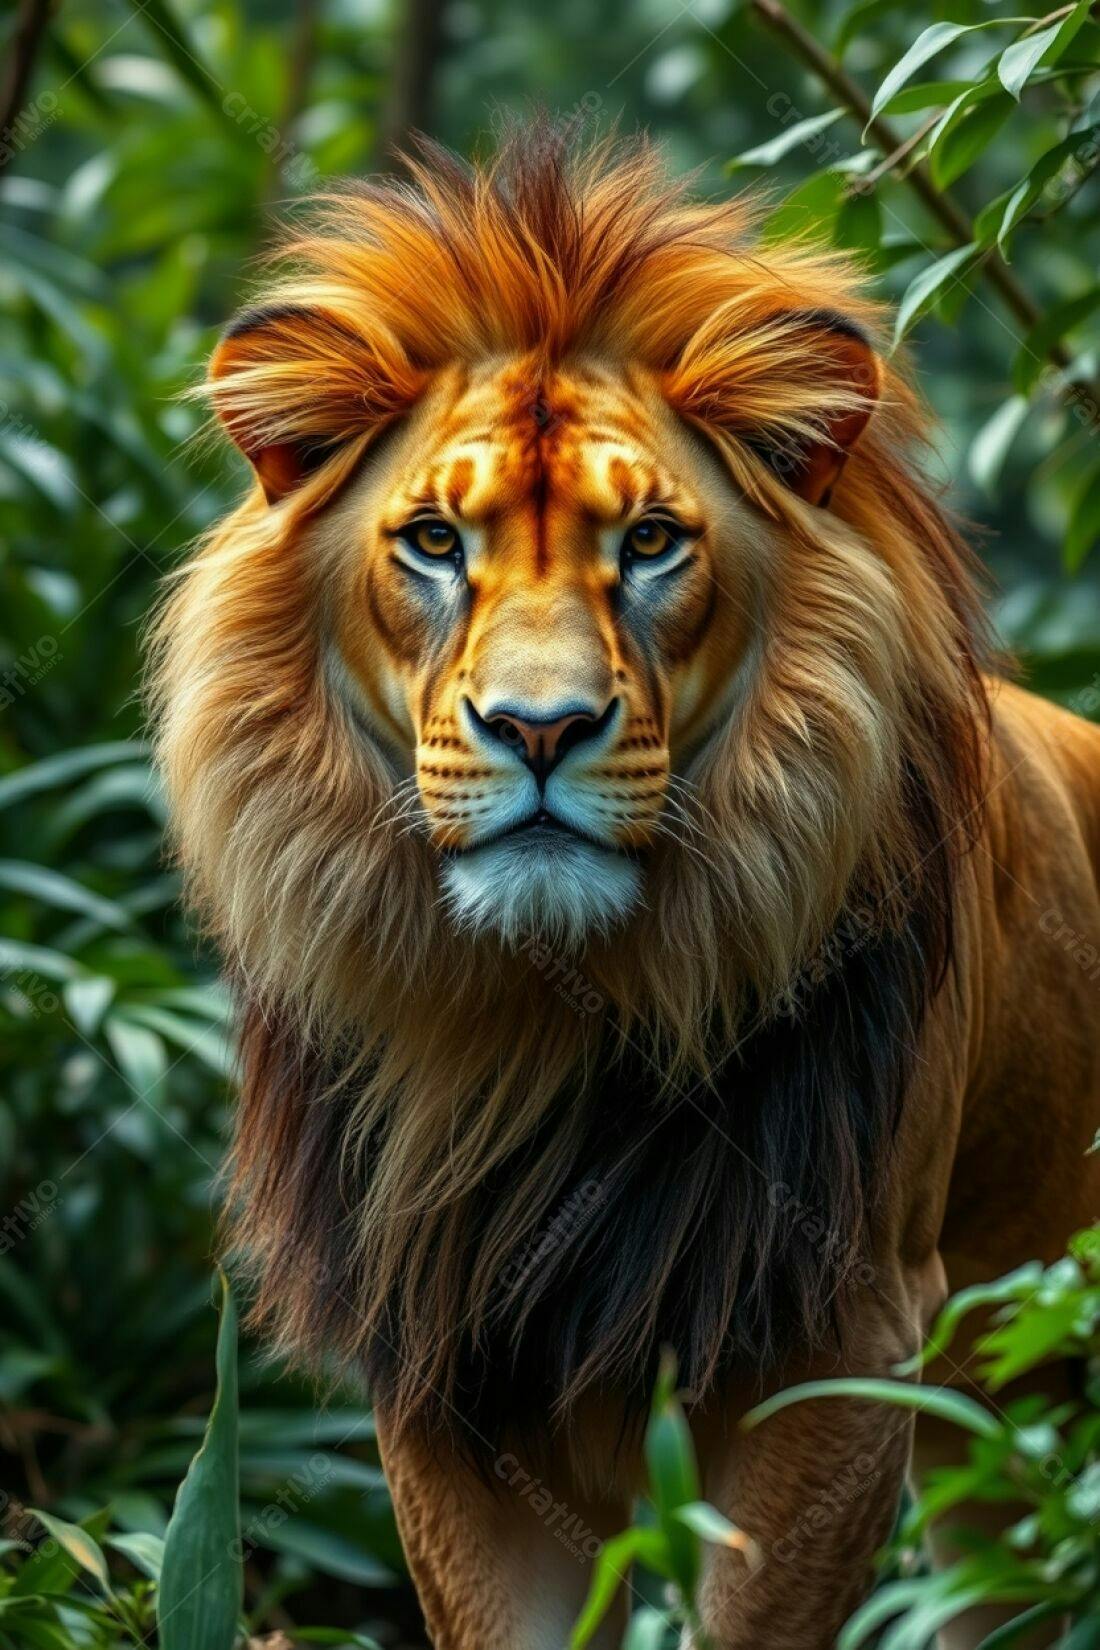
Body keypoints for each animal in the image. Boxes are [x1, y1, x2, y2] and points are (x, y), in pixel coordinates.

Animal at [152, 126, 1100, 1650]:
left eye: (651, 542)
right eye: (434, 542)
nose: (540, 728)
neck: (554, 1021)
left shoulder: (837, 1341)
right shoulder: (448, 1368)